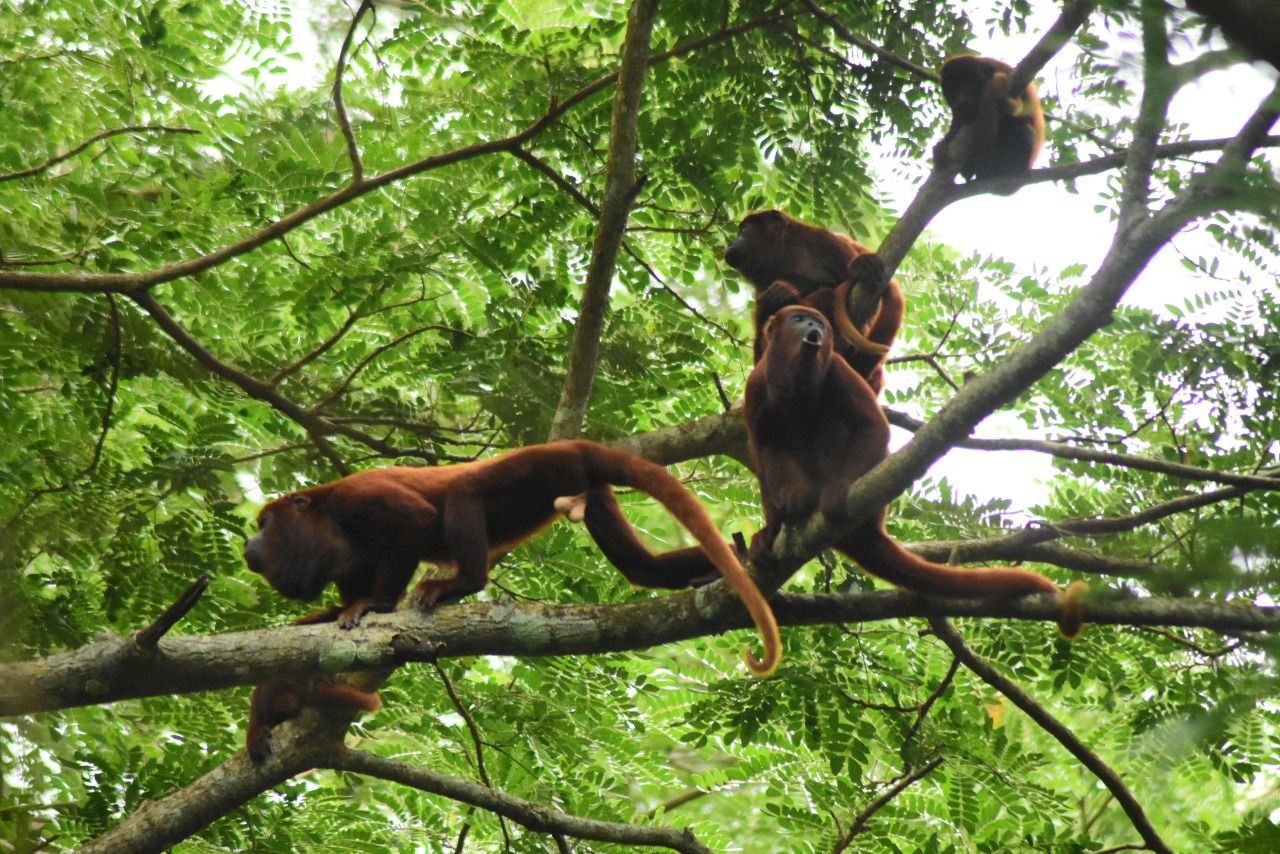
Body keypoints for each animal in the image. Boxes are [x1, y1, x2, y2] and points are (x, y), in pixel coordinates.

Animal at [727, 207, 906, 396]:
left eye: (744, 232)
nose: (731, 244)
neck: (787, 257)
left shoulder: (826, 242)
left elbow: (869, 307)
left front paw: (788, 290)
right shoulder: (761, 287)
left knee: (827, 294)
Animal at [747, 306, 1085, 635]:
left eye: (818, 321)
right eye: (797, 319)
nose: (813, 325)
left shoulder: (837, 367)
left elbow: (872, 426)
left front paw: (837, 488)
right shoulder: (755, 385)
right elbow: (761, 452)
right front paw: (771, 528)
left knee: (831, 419)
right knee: (774, 444)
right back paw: (795, 503)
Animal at [942, 55, 1039, 186]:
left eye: (969, 85)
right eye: (953, 89)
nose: (961, 100)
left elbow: (1021, 117)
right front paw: (951, 133)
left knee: (1026, 132)